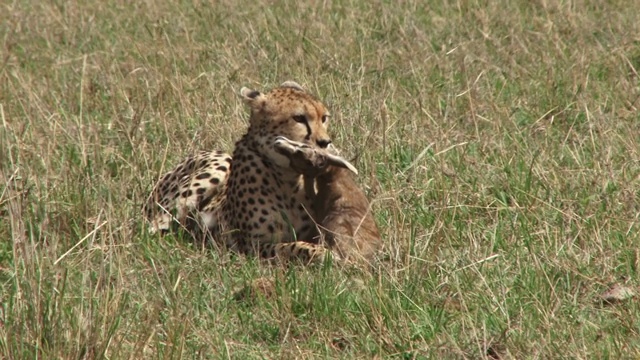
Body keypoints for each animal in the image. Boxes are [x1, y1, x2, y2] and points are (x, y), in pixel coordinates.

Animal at [143, 81, 342, 262]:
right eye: (299, 118)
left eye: (324, 118)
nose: (325, 142)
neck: (287, 177)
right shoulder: (249, 246)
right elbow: (291, 247)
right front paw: (323, 254)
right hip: (217, 167)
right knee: (154, 227)